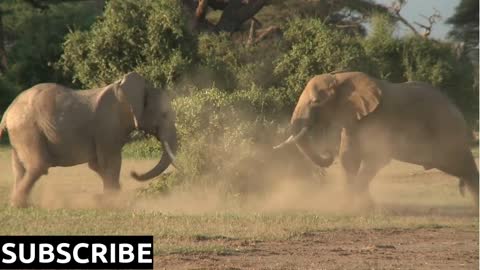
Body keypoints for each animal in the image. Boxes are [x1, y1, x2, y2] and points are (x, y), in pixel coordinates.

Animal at [0, 71, 177, 207]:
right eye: (164, 115)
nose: (133, 173)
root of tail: (8, 111)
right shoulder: (108, 126)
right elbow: (110, 162)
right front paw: (113, 201)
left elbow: (96, 164)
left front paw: (110, 196)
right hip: (28, 129)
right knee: (38, 165)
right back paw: (19, 205)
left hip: (21, 133)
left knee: (19, 168)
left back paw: (19, 203)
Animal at [276, 71, 478, 207]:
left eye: (316, 101)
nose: (326, 151)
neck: (341, 77)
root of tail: (457, 109)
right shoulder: (354, 118)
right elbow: (349, 157)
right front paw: (357, 205)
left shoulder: (379, 119)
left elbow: (375, 158)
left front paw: (354, 205)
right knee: (464, 170)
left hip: (448, 133)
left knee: (464, 166)